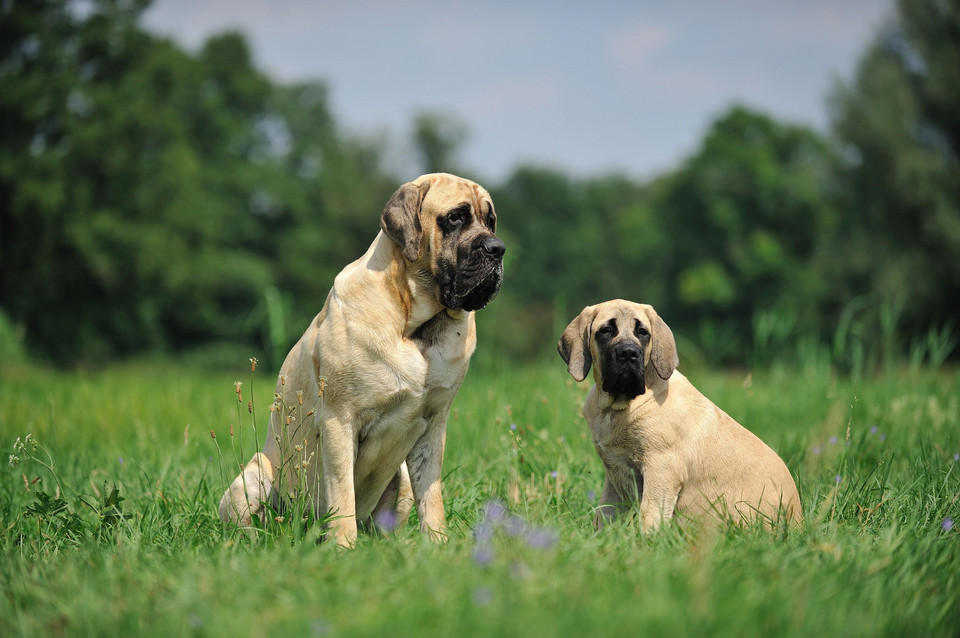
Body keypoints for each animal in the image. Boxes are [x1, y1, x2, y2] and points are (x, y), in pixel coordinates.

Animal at [221, 172, 506, 548]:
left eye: (490, 220)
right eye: (455, 217)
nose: (498, 249)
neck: (416, 328)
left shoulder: (434, 425)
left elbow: (431, 496)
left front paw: (438, 545)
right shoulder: (339, 420)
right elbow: (342, 493)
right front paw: (343, 546)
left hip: (400, 481)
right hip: (252, 478)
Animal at [560, 302, 800, 532]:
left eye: (643, 332)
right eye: (606, 330)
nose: (629, 353)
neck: (619, 406)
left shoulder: (661, 468)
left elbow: (649, 514)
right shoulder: (614, 474)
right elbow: (605, 514)